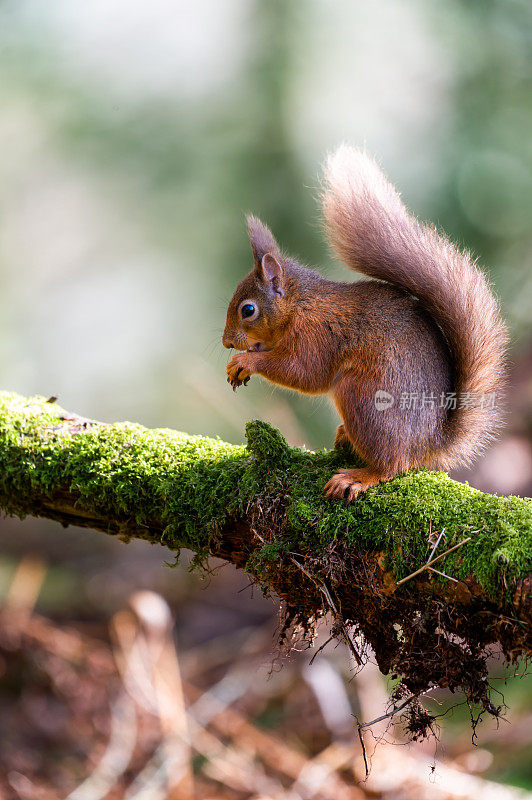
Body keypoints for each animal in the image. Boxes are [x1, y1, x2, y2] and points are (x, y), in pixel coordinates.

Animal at [220, 148, 508, 500]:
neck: (301, 305)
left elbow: (304, 372)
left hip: (363, 399)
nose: (226, 342)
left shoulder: (317, 335)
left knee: (392, 466)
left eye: (248, 310)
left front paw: (246, 361)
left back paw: (359, 476)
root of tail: (429, 444)